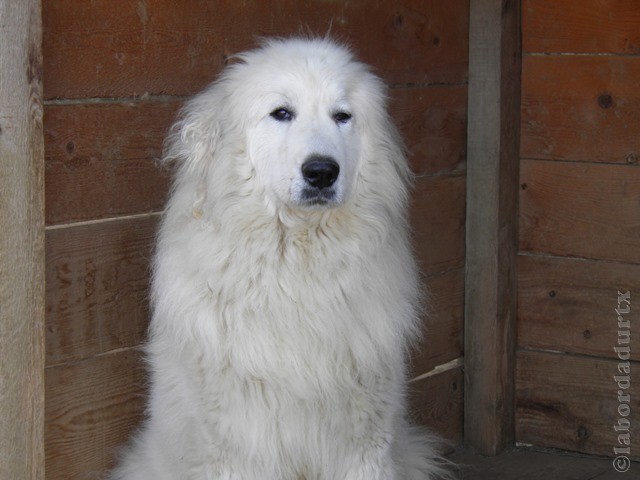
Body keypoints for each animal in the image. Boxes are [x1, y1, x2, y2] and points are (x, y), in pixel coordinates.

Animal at [110, 37, 450, 480]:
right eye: (282, 113)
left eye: (342, 116)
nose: (321, 172)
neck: (298, 267)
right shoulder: (240, 449)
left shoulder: (364, 441)